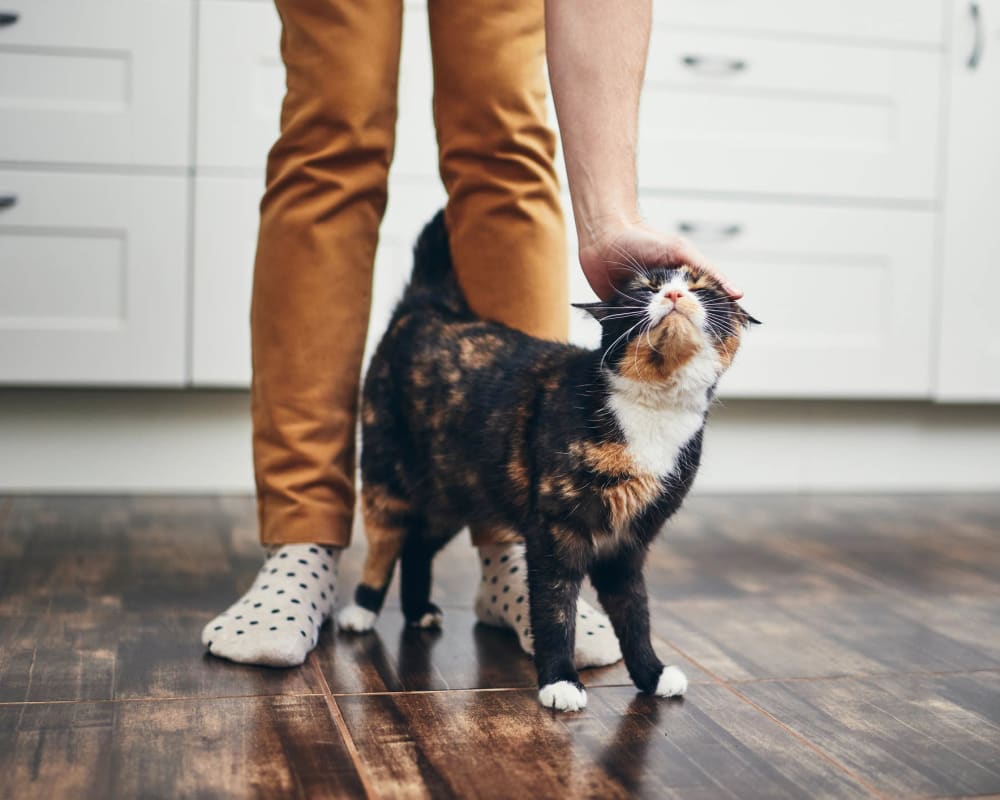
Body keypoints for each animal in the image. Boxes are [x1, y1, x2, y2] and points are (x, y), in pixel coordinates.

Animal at [340, 209, 752, 708]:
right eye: (645, 288)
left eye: (701, 288)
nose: (673, 294)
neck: (653, 410)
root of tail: (428, 307)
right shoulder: (556, 530)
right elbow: (555, 610)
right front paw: (560, 681)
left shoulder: (629, 544)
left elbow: (635, 614)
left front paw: (651, 673)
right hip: (387, 475)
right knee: (385, 543)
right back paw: (361, 609)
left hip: (454, 493)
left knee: (418, 545)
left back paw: (418, 610)